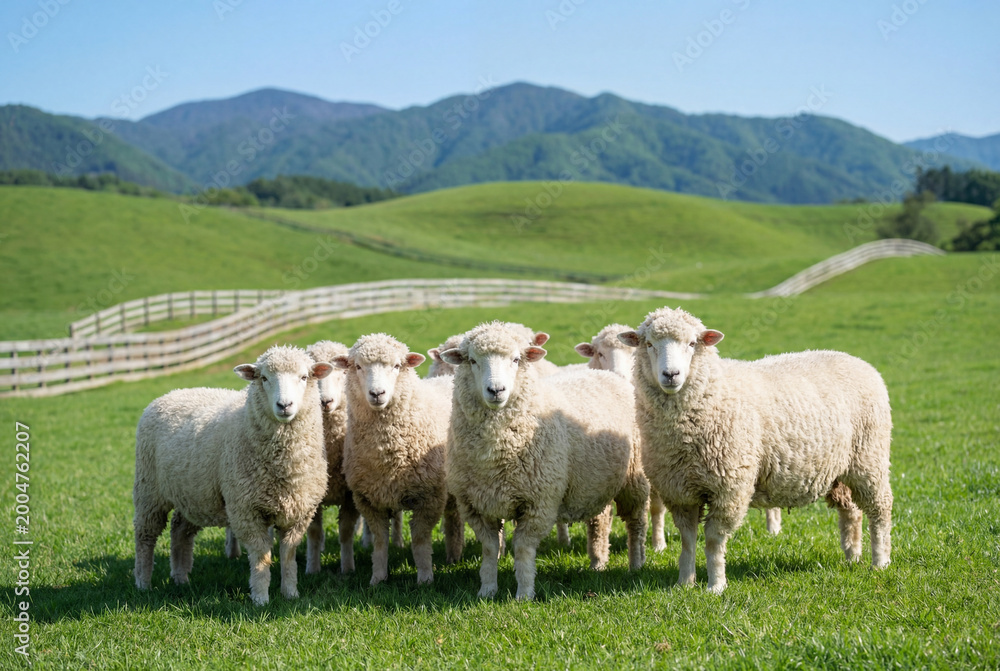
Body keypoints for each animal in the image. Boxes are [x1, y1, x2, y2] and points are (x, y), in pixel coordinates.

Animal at [133, 345, 332, 605]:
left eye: (304, 377)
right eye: (264, 378)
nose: (284, 405)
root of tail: (170, 394)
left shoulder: (299, 512)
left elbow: (288, 555)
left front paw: (290, 593)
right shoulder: (246, 510)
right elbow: (261, 556)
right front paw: (260, 598)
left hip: (193, 494)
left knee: (179, 530)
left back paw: (180, 578)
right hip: (149, 490)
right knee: (145, 536)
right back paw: (143, 583)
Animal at [333, 333, 464, 586]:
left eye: (396, 366)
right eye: (358, 366)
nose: (377, 394)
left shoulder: (430, 497)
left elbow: (421, 541)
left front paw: (425, 578)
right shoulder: (368, 499)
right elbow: (380, 541)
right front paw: (378, 578)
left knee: (454, 517)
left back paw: (455, 556)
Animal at [442, 321, 649, 601]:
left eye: (516, 360)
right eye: (472, 361)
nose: (496, 390)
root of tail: (609, 375)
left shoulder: (539, 501)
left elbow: (522, 549)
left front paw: (524, 593)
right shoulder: (475, 505)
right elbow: (489, 548)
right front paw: (487, 589)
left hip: (634, 478)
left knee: (636, 523)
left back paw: (636, 563)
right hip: (594, 480)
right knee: (600, 520)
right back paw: (597, 562)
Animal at [620, 307, 893, 594]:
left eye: (692, 344)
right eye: (649, 344)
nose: (671, 375)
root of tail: (858, 361)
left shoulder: (730, 487)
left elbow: (714, 539)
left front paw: (716, 585)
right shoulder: (680, 491)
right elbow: (687, 540)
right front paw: (685, 583)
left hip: (869, 458)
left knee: (880, 509)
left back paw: (880, 562)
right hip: (840, 470)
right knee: (851, 511)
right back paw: (853, 556)